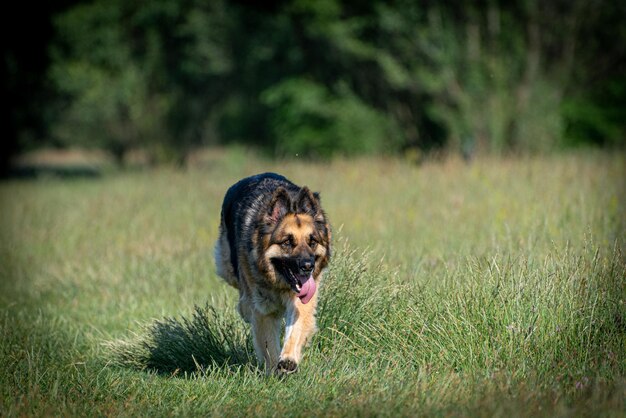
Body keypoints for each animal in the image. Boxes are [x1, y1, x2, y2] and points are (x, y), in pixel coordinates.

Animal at [213, 171, 332, 374]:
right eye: (287, 242)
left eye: (312, 241)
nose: (307, 266)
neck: (279, 284)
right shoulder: (263, 310)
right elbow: (269, 346)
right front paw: (274, 372)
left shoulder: (302, 302)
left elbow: (295, 330)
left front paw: (288, 360)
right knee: (244, 303)